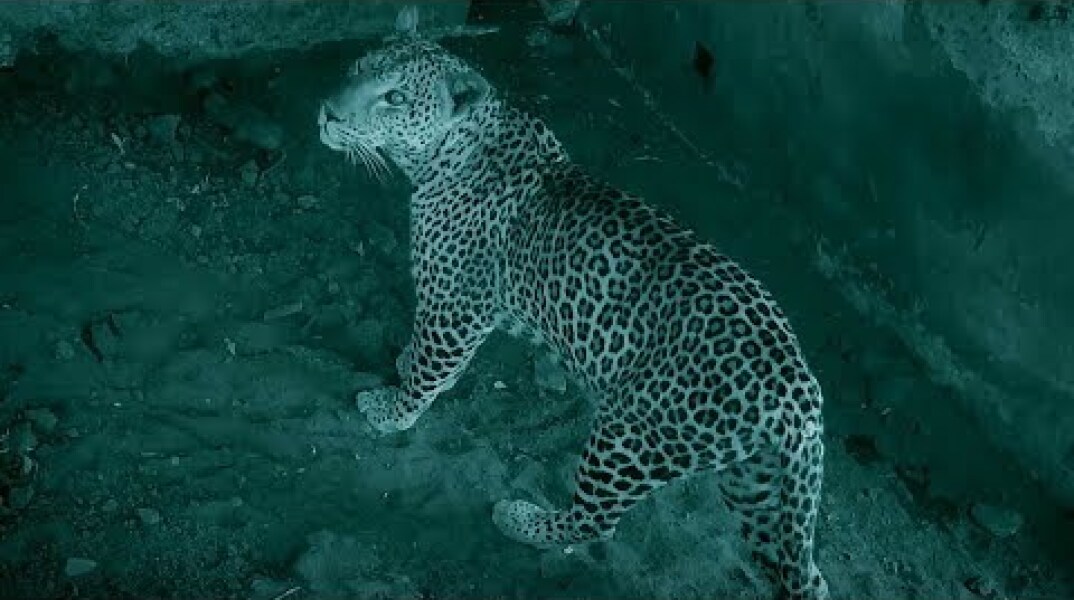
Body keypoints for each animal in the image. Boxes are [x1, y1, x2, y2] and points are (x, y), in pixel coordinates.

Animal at [317, 13, 829, 600]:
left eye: (395, 98)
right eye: (357, 67)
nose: (329, 112)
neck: (447, 153)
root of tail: (800, 394)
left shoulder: (458, 307)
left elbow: (429, 367)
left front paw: (391, 411)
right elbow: (427, 358)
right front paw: (402, 368)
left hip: (628, 439)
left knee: (596, 519)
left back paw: (522, 521)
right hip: (756, 483)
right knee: (799, 571)